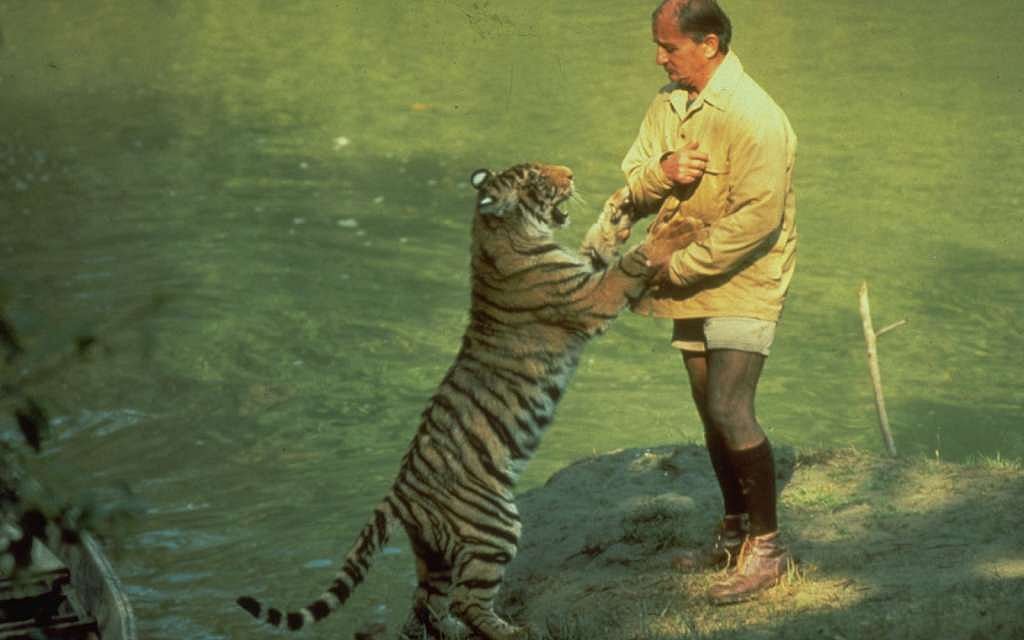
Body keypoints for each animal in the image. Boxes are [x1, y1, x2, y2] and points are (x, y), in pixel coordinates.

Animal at [236, 163, 696, 640]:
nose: (569, 173)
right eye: (536, 177)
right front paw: (672, 230)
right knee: (467, 600)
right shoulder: (589, 298)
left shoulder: (585, 271)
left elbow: (599, 243)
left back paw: (452, 630)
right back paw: (511, 631)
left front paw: (618, 210)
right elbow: (630, 263)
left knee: (425, 606)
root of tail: (398, 493)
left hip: (434, 555)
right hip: (494, 528)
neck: (502, 236)